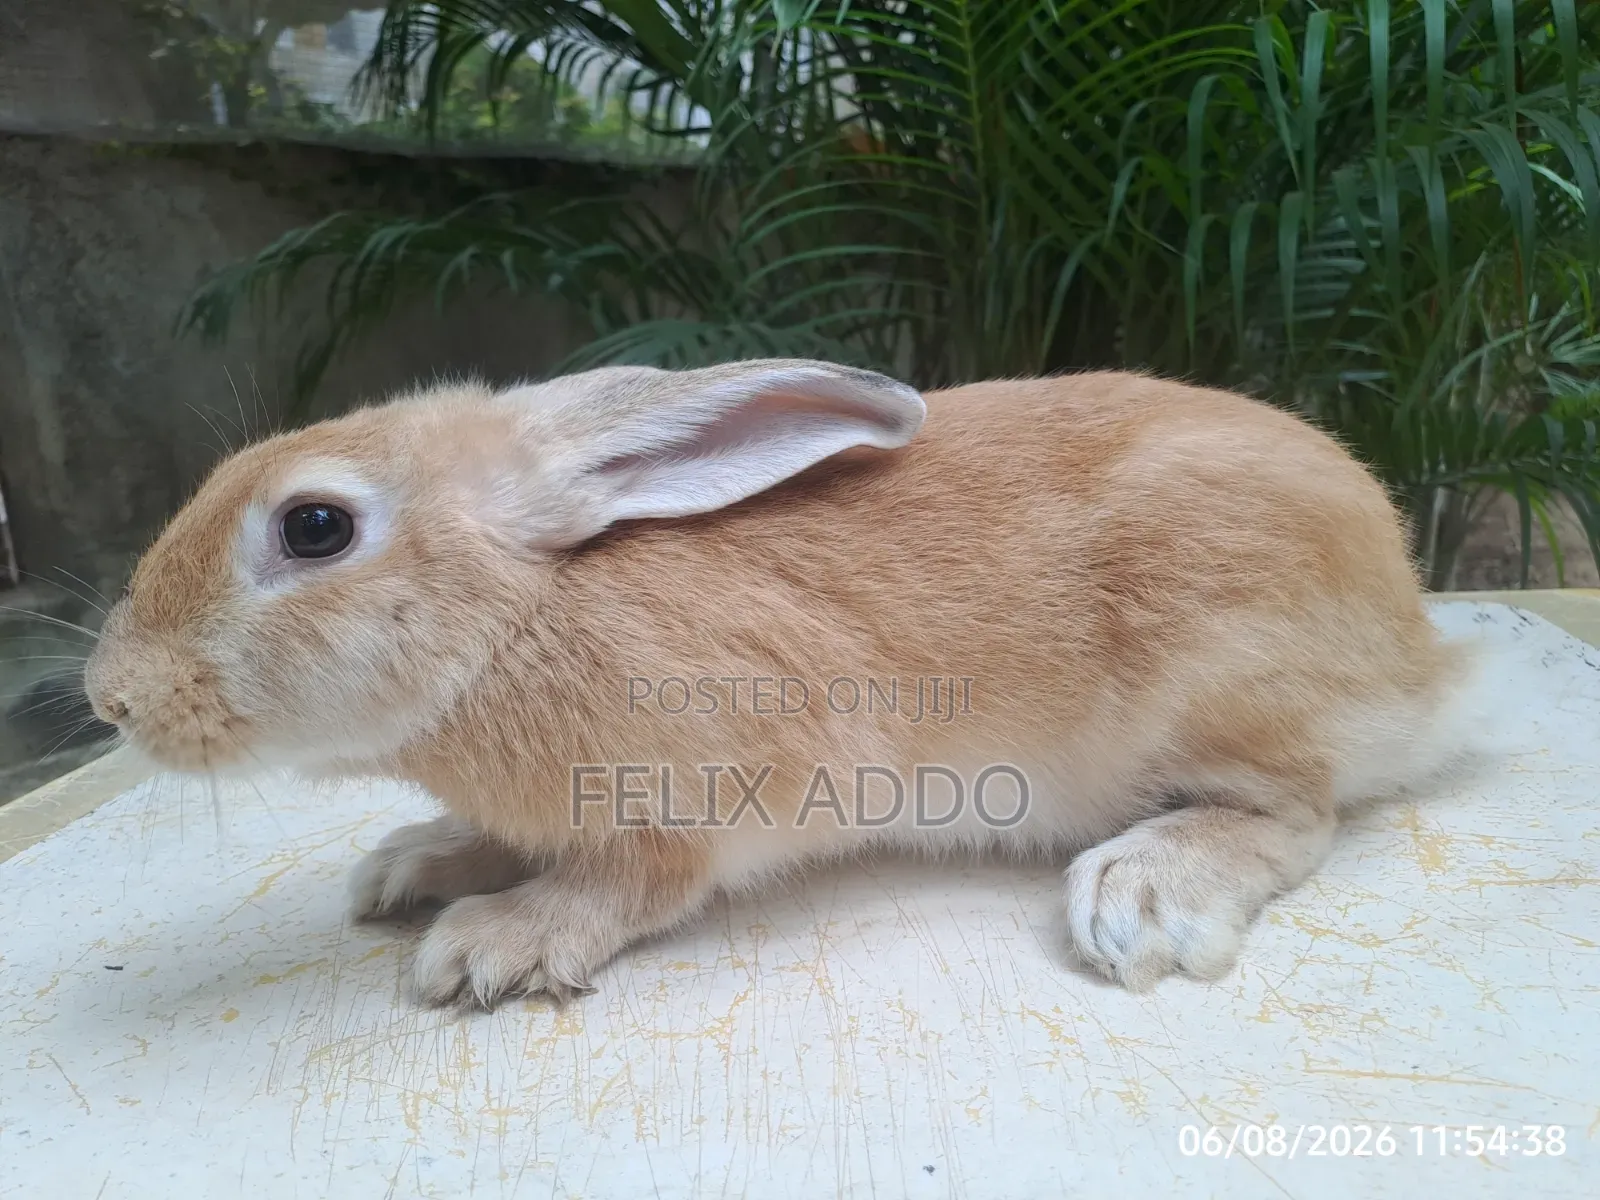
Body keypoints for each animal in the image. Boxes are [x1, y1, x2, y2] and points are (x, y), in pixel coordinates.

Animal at [84, 360, 1475, 1008]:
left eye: (314, 528)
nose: (111, 696)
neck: (516, 616)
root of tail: (1420, 652)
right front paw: (417, 864)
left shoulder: (718, 789)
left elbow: (632, 880)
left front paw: (493, 944)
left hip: (1219, 679)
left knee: (1291, 811)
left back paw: (1144, 890)